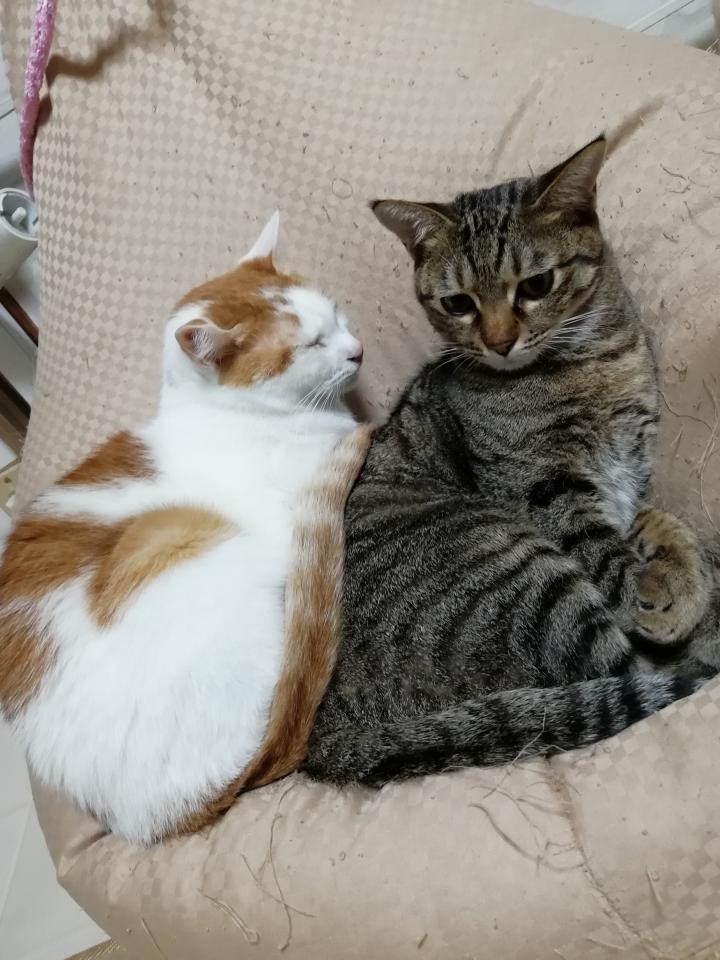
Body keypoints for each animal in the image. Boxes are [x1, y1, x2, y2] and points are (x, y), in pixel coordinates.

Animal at [305, 137, 720, 786]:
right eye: (457, 303)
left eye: (537, 284)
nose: (500, 342)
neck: (595, 363)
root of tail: (322, 740)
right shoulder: (541, 487)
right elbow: (606, 549)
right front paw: (653, 589)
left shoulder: (628, 467)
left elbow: (658, 520)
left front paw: (684, 574)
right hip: (520, 576)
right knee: (629, 671)